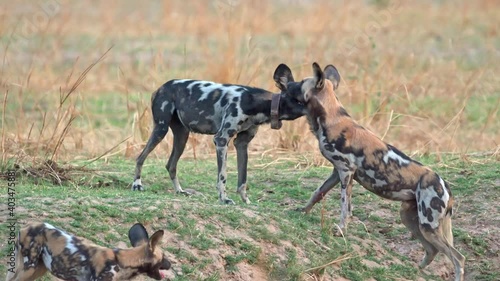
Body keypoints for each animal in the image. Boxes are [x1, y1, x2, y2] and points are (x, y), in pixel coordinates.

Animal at [132, 63, 304, 203]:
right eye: (300, 100)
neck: (258, 103)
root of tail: (161, 87)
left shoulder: (241, 144)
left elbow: (243, 180)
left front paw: (245, 201)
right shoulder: (221, 140)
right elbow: (222, 177)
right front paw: (224, 199)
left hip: (182, 137)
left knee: (171, 165)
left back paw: (179, 191)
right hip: (161, 130)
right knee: (140, 157)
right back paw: (137, 184)